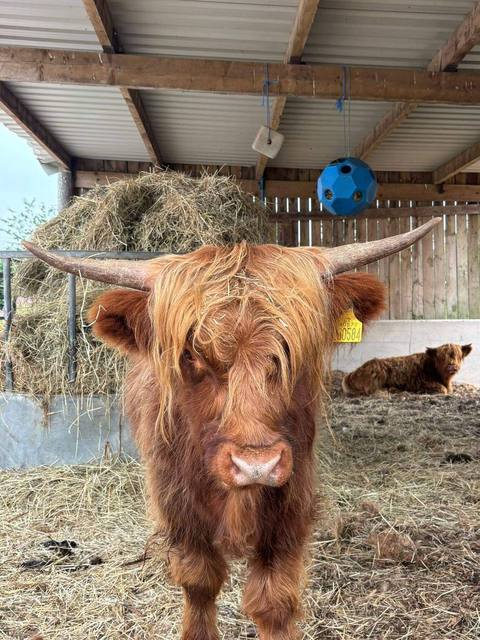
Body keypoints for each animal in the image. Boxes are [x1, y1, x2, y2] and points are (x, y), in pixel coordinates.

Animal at [24, 218, 439, 640]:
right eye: (192, 353)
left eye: (291, 350)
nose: (257, 465)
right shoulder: (179, 507)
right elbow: (199, 582)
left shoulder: (291, 505)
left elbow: (274, 602)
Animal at [342, 342, 472, 397]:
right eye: (441, 357)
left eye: (458, 356)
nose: (452, 366)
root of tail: (350, 375)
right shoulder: (421, 383)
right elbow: (443, 389)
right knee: (372, 390)